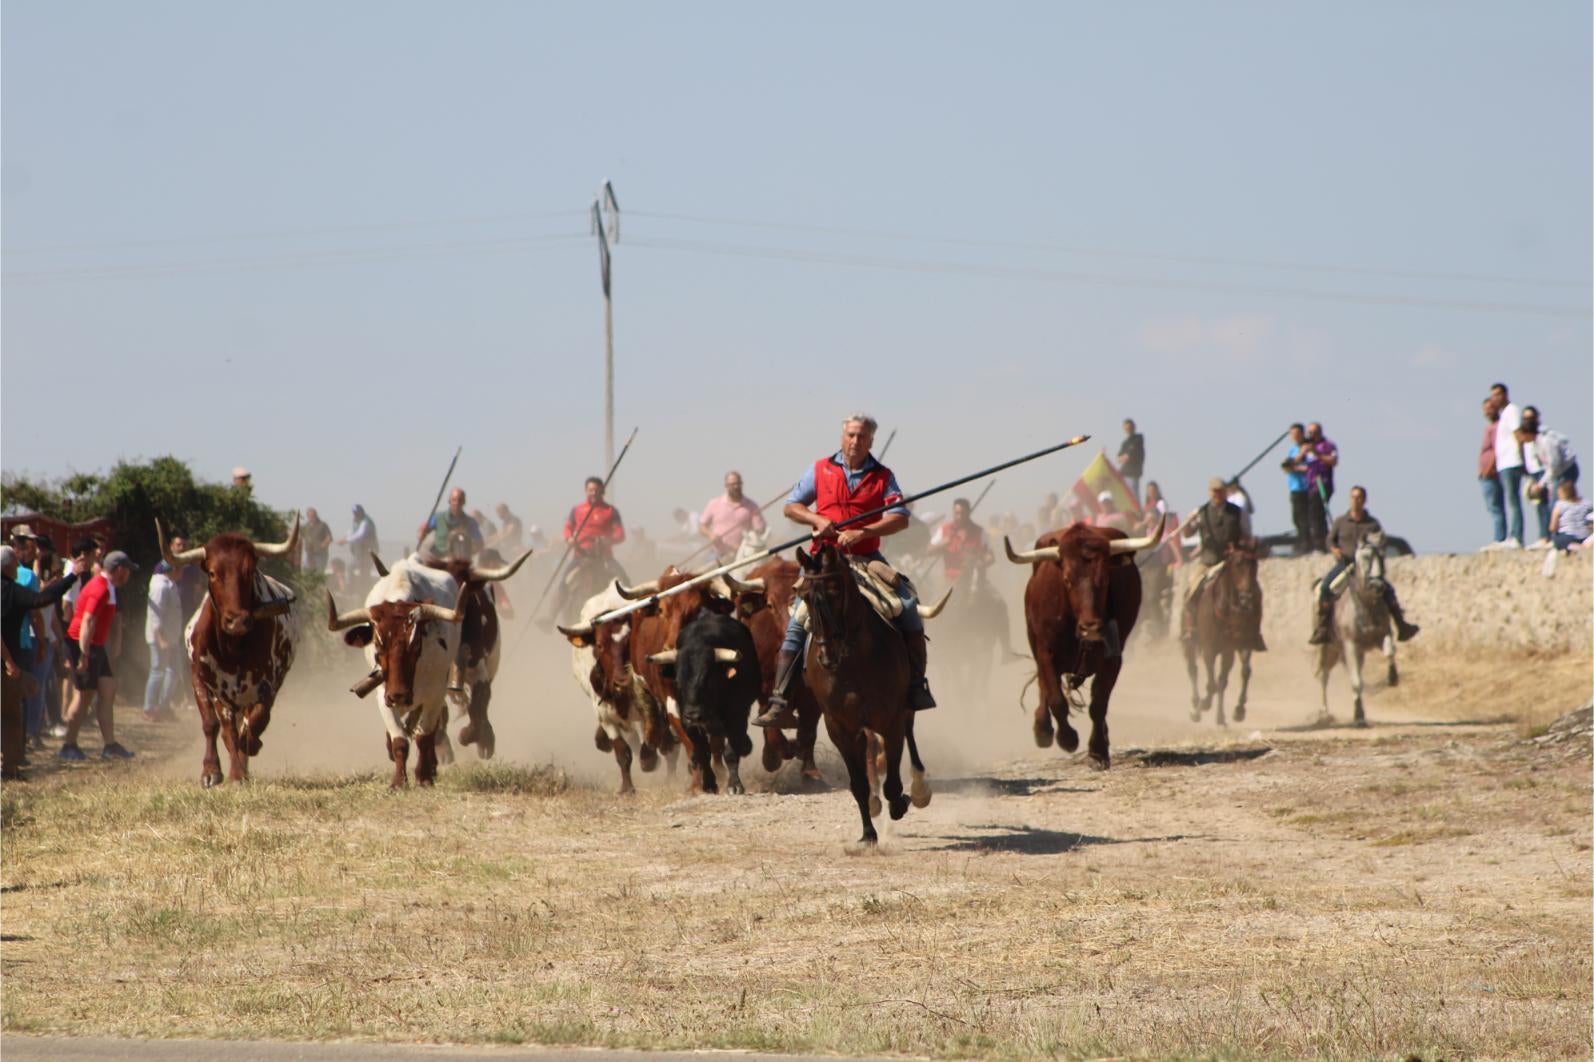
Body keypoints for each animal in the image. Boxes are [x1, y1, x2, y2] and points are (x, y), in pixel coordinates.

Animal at [163, 513, 306, 784]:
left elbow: (257, 720)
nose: (237, 621)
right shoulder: (203, 681)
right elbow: (213, 725)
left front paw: (249, 748)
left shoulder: (267, 684)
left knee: (247, 723)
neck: (233, 648)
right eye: (212, 572)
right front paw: (212, 771)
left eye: (250, 571)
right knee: (227, 729)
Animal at [790, 542, 930, 841]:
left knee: (910, 733)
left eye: (835, 592)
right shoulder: (839, 727)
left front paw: (899, 803)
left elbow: (893, 781)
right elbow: (858, 785)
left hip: (905, 707)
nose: (826, 656)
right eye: (804, 596)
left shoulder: (891, 720)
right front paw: (868, 833)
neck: (854, 660)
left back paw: (919, 789)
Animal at [1007, 516, 1160, 765]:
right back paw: (1043, 730)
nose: (1091, 628)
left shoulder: (1113, 658)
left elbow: (1099, 703)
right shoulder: (1045, 652)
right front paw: (1067, 738)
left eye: (1106, 578)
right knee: (1043, 687)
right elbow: (1055, 699)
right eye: (1067, 580)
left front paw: (1097, 750)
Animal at [1179, 542, 1262, 723]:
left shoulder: (1238, 646)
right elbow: (1212, 682)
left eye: (1255, 564)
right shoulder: (1209, 648)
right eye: (1238, 564)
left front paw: (1237, 711)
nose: (1247, 598)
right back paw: (1195, 707)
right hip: (1189, 644)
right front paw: (1205, 704)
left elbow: (1241, 674)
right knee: (1193, 670)